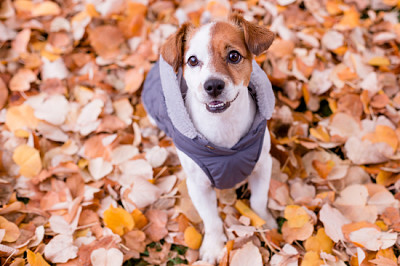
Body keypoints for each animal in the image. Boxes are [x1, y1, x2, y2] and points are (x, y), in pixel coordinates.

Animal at [142, 13, 276, 262]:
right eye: (193, 60)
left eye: (234, 55)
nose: (213, 85)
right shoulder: (198, 185)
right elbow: (211, 219)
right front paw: (214, 246)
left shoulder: (263, 166)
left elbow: (258, 200)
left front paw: (265, 223)